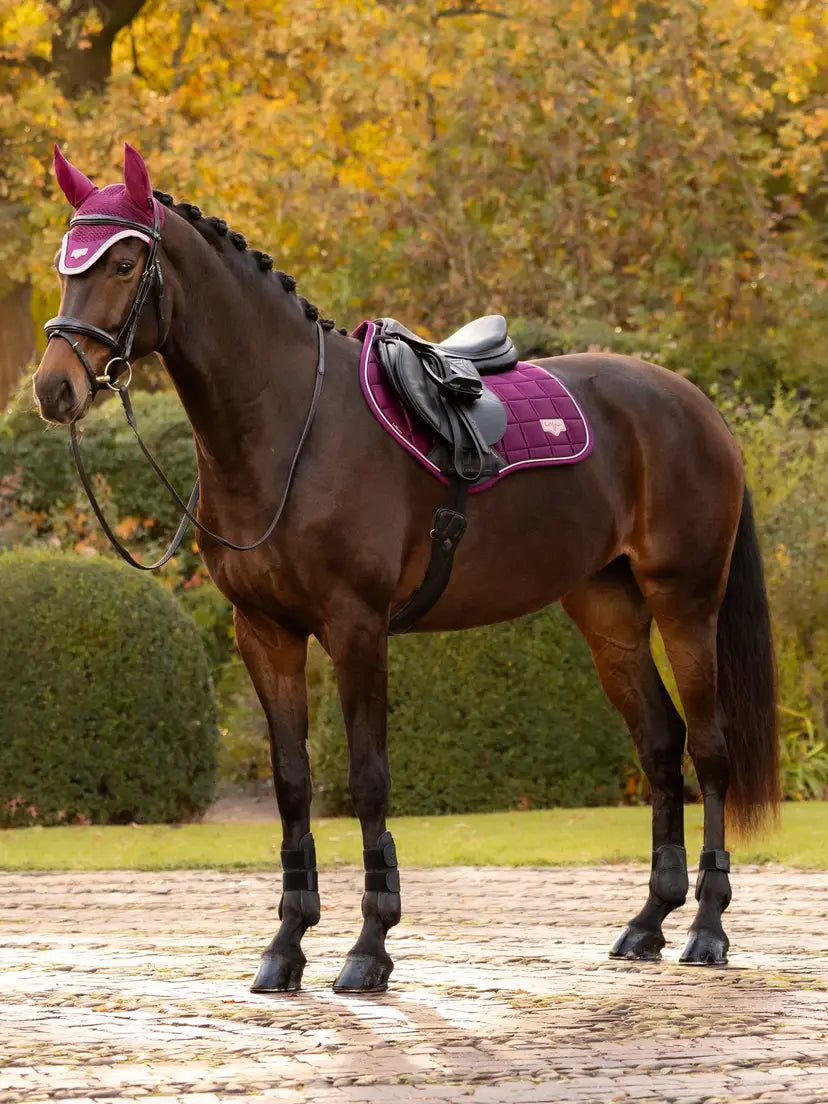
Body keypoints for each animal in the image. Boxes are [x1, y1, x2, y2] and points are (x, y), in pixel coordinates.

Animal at [33, 143, 779, 994]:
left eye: (125, 261)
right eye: (66, 262)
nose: (54, 387)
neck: (291, 425)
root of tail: (695, 404)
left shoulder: (356, 628)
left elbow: (367, 779)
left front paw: (368, 947)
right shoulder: (265, 633)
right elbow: (292, 783)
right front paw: (286, 945)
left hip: (687, 603)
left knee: (709, 750)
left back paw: (708, 930)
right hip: (609, 613)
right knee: (660, 743)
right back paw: (648, 922)